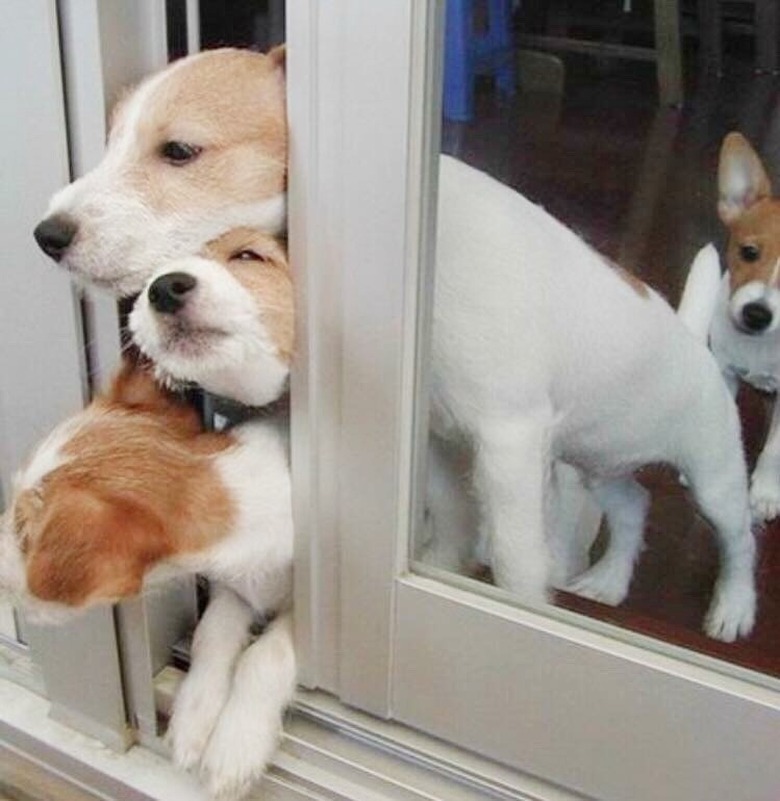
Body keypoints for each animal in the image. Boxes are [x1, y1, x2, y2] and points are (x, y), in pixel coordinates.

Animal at [0, 360, 296, 796]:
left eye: (25, 536)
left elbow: (264, 656)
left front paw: (235, 749)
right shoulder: (232, 589)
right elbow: (210, 635)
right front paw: (193, 719)